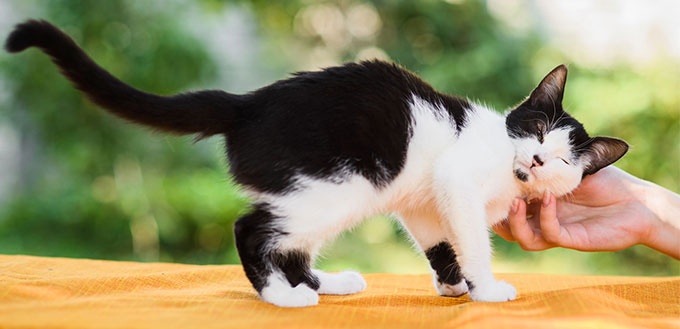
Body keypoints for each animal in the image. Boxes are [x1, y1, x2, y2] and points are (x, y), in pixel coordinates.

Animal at [6, 20, 632, 306]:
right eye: (539, 130)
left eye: (563, 160)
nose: (537, 158)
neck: (504, 164)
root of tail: (250, 102)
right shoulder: (456, 181)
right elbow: (473, 239)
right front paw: (486, 287)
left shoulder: (424, 199)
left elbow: (439, 241)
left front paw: (453, 285)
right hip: (341, 186)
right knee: (251, 228)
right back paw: (280, 296)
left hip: (327, 192)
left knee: (289, 243)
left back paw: (325, 282)